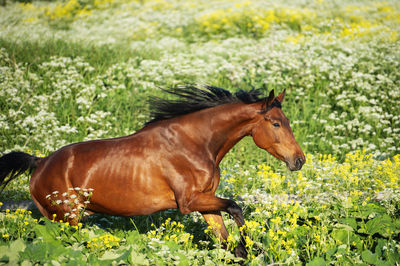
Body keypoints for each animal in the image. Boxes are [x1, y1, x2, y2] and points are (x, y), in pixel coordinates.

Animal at [0, 85, 304, 258]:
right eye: (276, 123)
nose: (299, 160)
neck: (195, 143)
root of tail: (40, 162)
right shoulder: (188, 201)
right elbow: (235, 206)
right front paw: (256, 246)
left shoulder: (205, 203)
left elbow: (228, 241)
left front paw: (248, 248)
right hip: (66, 218)